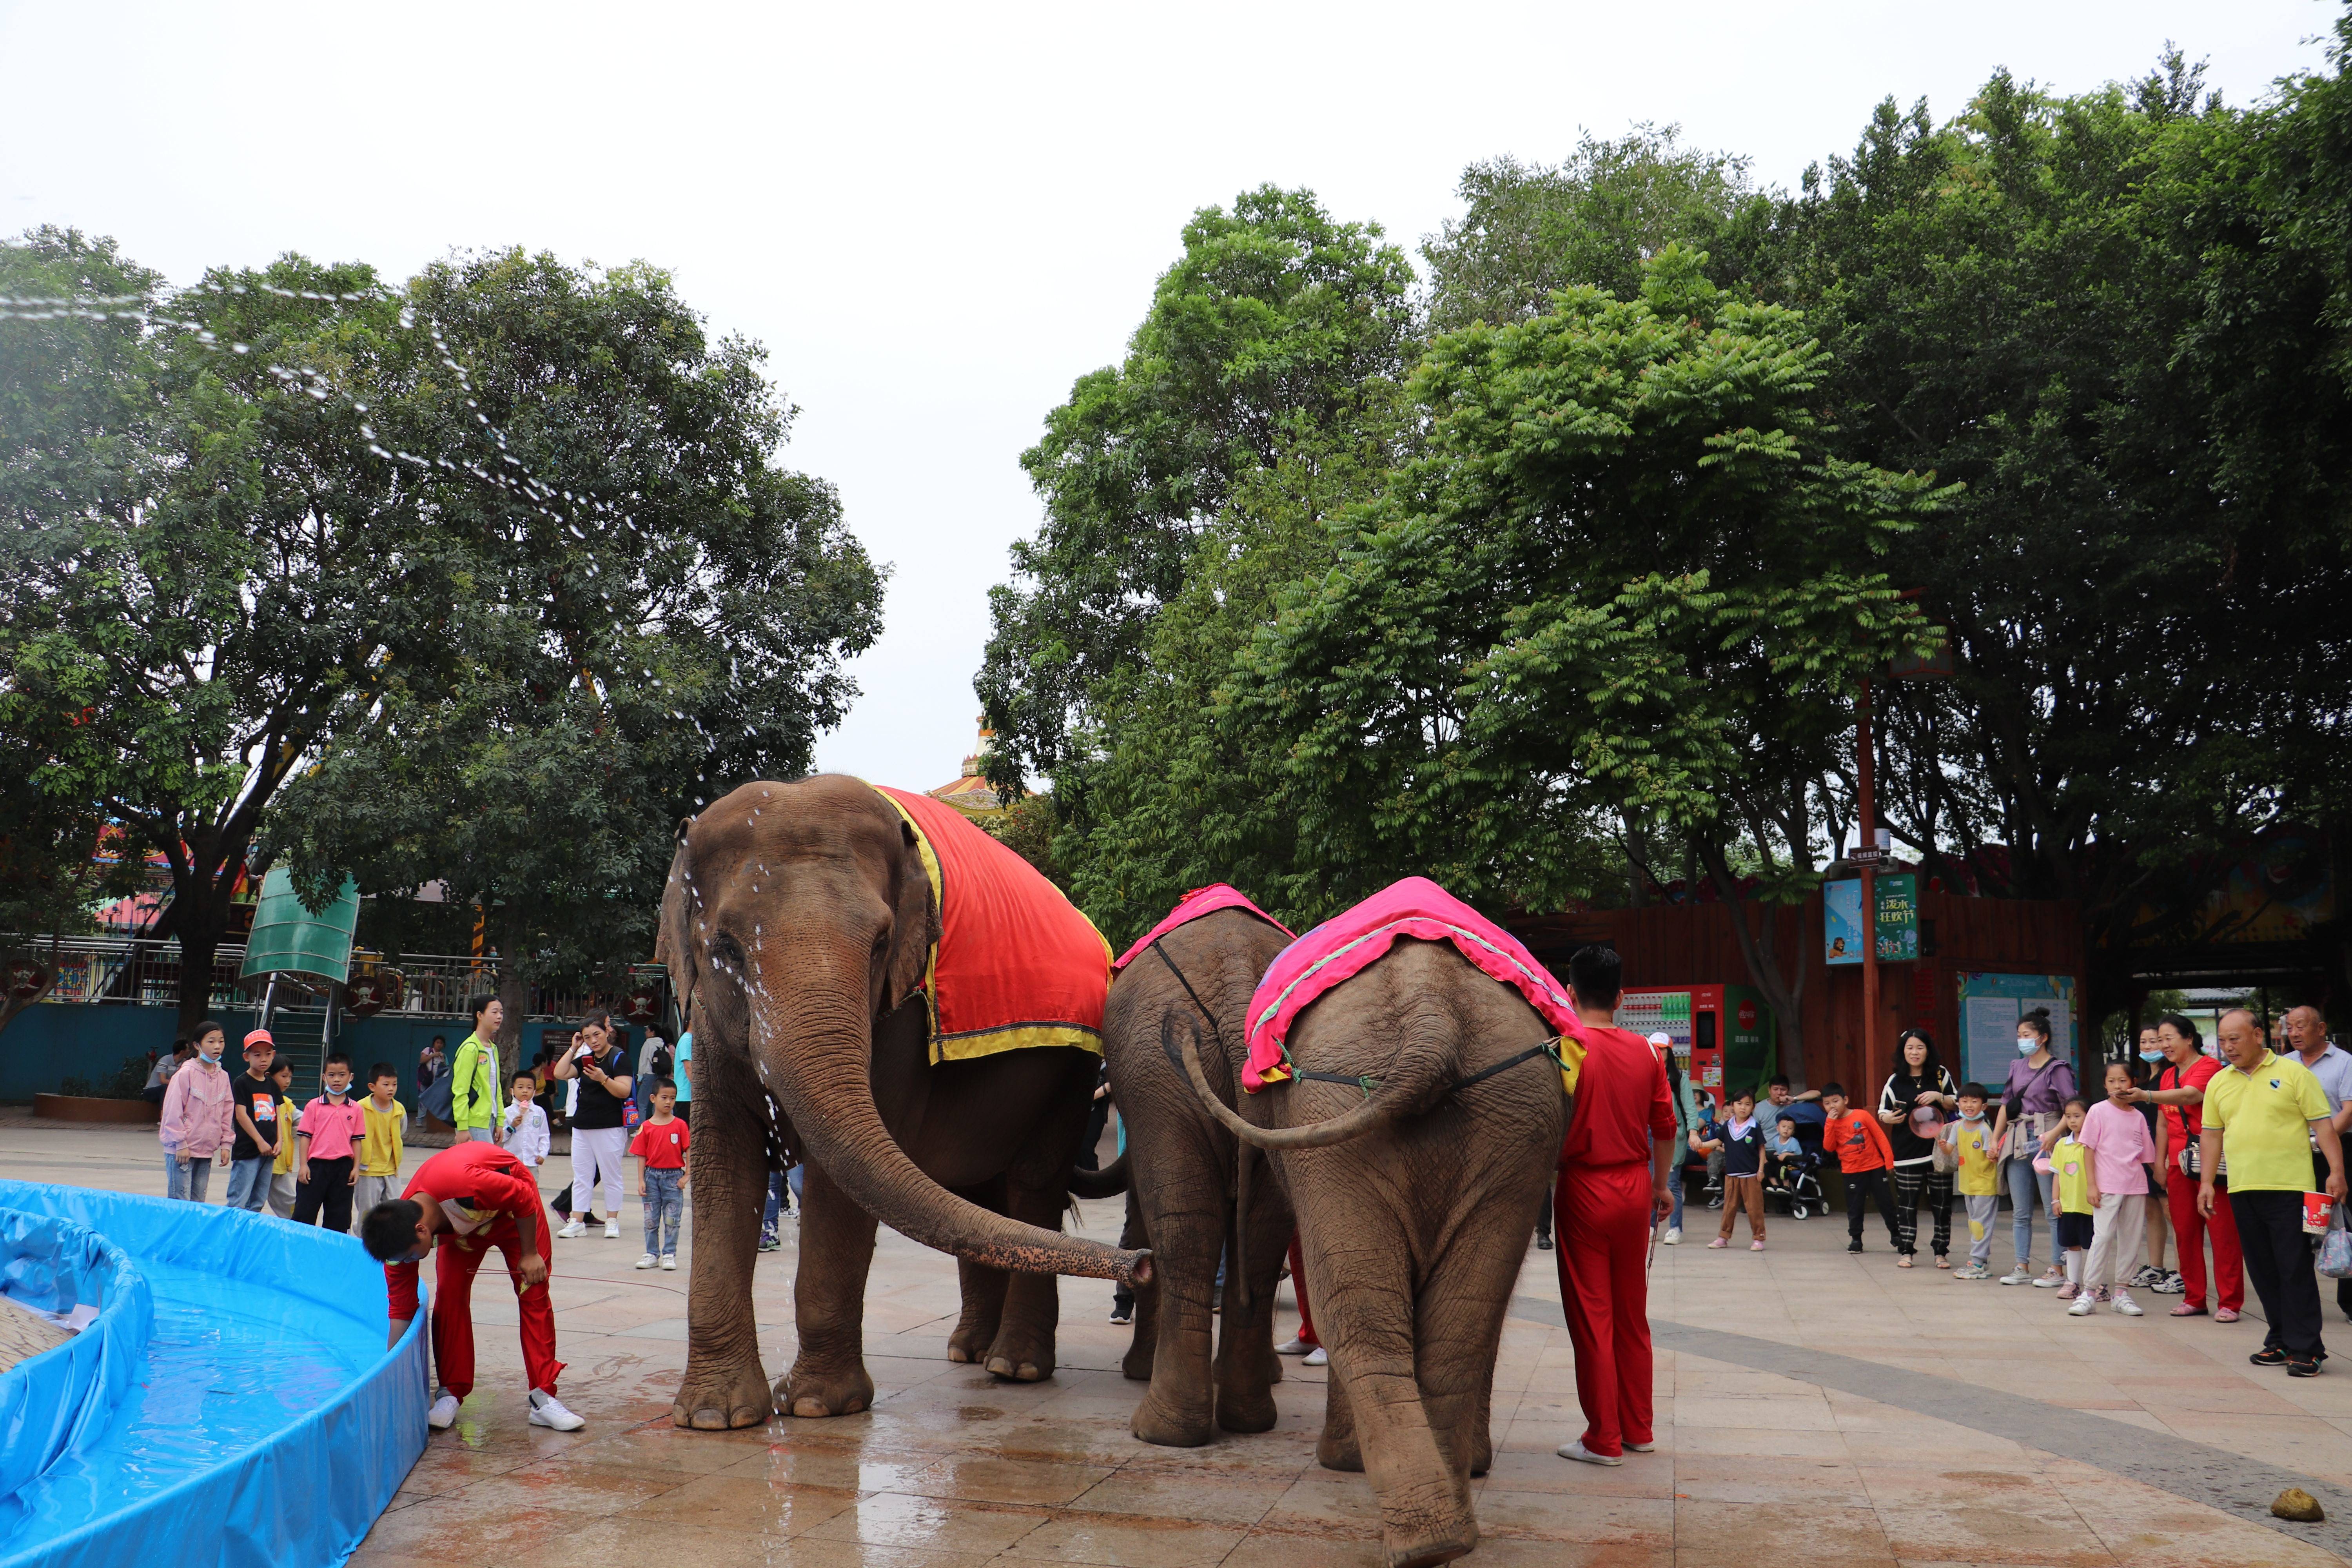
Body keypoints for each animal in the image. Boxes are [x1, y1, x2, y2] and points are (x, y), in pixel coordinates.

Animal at [659, 776, 1152, 1439]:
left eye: (881, 945)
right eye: (729, 950)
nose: (1144, 1264)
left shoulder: (900, 1019)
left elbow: (836, 1189)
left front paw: (815, 1406)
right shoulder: (709, 1022)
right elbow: (724, 1164)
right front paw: (714, 1418)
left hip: (1071, 1067)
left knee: (1031, 1181)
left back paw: (1014, 1367)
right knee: (977, 1188)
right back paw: (969, 1351)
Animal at [1091, 907, 1298, 1448]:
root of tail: (1238, 975)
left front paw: (1137, 1372)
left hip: (1156, 1082)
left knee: (1184, 1233)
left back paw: (1160, 1430)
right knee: (1263, 1237)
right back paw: (1248, 1418)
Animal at [1185, 940, 1571, 1561]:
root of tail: (1430, 1015)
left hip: (1350, 1110)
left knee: (1356, 1313)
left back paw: (1415, 1531)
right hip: (1507, 1121)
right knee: (1457, 1323)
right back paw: (1444, 1537)